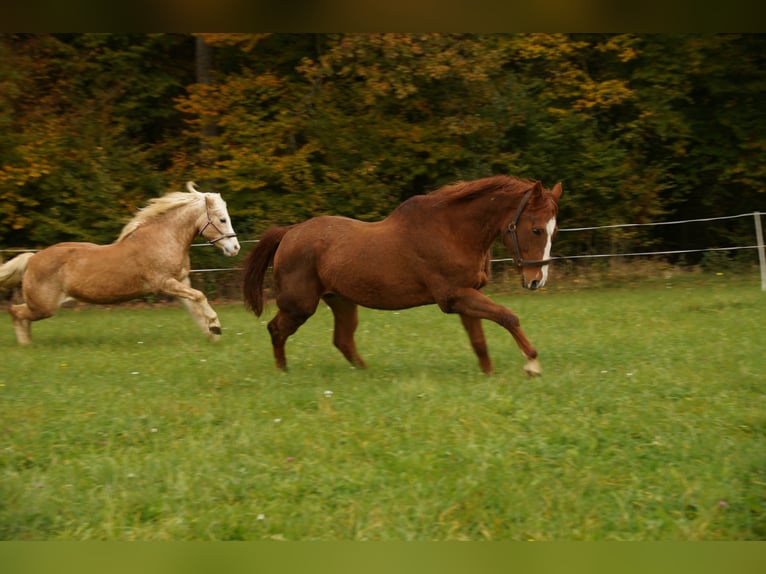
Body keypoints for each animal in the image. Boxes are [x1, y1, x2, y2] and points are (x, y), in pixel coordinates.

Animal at [0, 184, 240, 344]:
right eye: (222, 219)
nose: (235, 247)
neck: (163, 239)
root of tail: (32, 258)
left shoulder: (181, 281)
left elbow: (195, 307)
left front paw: (212, 335)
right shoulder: (164, 283)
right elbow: (200, 296)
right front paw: (215, 326)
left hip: (42, 306)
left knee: (20, 314)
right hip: (44, 306)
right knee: (15, 312)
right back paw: (25, 346)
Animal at [244, 176, 564, 378]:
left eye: (555, 230)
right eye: (536, 229)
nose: (537, 280)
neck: (453, 231)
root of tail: (289, 232)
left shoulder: (467, 295)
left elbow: (480, 341)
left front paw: (489, 375)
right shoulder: (454, 297)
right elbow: (508, 317)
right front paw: (532, 364)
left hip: (342, 301)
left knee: (343, 340)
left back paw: (366, 374)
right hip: (299, 306)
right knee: (276, 329)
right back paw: (283, 373)